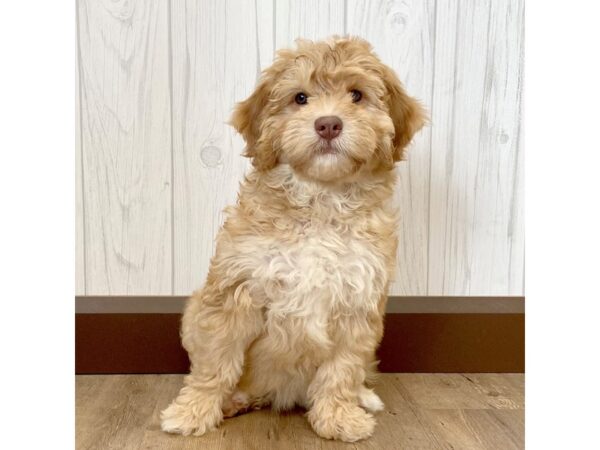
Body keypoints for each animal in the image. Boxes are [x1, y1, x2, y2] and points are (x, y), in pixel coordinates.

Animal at [162, 36, 426, 442]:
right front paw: (193, 411)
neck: (320, 200)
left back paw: (362, 397)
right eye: (300, 98)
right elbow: (215, 361)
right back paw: (233, 399)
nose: (328, 124)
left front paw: (338, 417)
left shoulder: (358, 301)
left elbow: (341, 370)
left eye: (357, 95)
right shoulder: (236, 289)